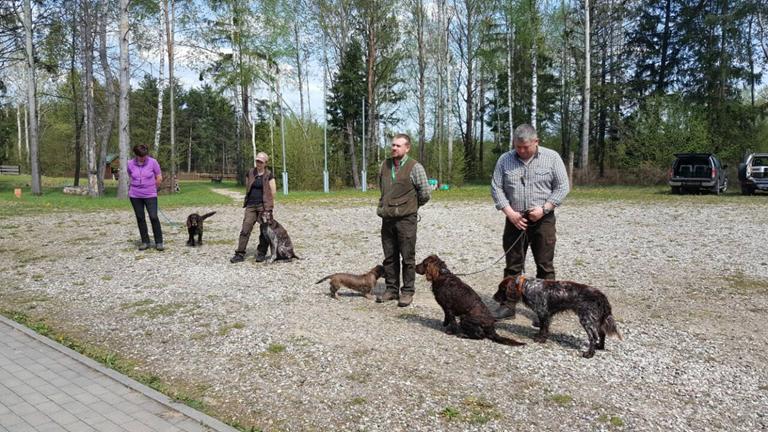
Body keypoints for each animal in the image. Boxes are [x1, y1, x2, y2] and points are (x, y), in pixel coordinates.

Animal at [494, 275, 622, 358]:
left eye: (501, 289)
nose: (494, 297)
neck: (527, 286)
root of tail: (601, 296)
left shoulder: (544, 313)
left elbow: (543, 329)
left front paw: (540, 339)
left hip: (586, 319)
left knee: (593, 337)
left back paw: (589, 354)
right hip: (596, 319)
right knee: (602, 334)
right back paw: (600, 346)